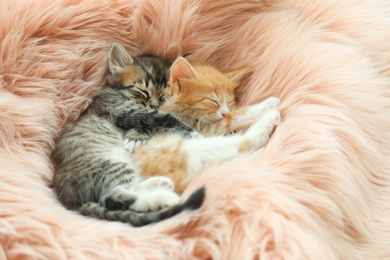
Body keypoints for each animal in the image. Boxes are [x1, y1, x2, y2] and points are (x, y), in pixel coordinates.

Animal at [134, 57, 280, 195]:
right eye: (213, 101)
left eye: (230, 102)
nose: (226, 113)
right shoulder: (205, 130)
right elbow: (233, 118)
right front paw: (266, 105)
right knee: (242, 142)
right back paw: (270, 116)